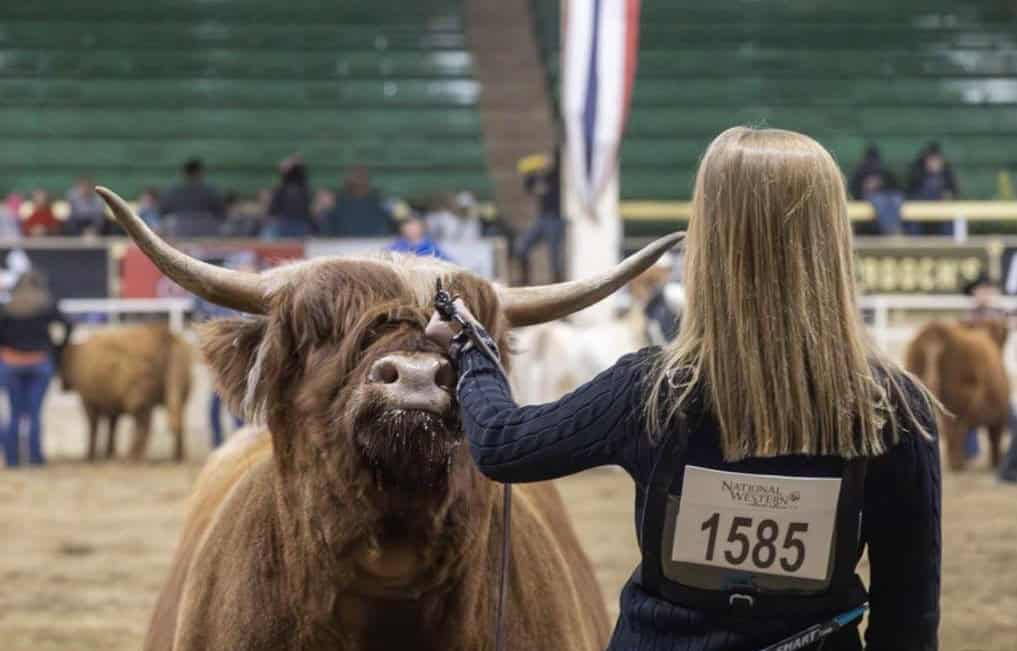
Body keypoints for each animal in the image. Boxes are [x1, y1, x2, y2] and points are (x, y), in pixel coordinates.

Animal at [60, 321, 192, 463]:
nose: (62, 386)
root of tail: (167, 337)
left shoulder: (88, 401)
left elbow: (93, 425)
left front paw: (90, 456)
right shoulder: (112, 404)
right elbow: (112, 425)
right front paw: (108, 453)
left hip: (138, 398)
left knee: (144, 424)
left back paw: (134, 456)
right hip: (179, 388)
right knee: (178, 417)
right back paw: (178, 456)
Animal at [907, 317, 1008, 469]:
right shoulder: (999, 415)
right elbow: (995, 439)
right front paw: (997, 463)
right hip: (959, 403)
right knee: (956, 431)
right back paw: (958, 463)